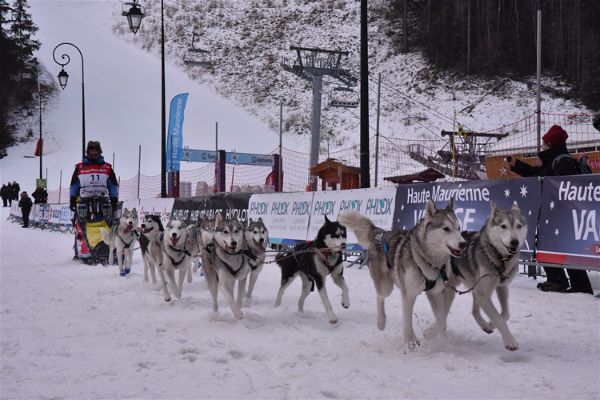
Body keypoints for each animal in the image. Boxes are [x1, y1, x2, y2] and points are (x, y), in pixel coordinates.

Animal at [340, 200, 466, 350]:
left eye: (459, 228)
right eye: (446, 229)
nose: (463, 244)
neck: (428, 260)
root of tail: (381, 233)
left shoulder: (434, 293)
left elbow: (441, 320)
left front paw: (430, 332)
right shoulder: (409, 294)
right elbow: (407, 323)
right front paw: (408, 345)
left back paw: (414, 338)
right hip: (387, 287)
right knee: (380, 297)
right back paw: (381, 322)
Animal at [442, 203, 528, 350]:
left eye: (518, 226)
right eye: (503, 226)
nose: (514, 242)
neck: (499, 258)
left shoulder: (501, 287)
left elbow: (504, 314)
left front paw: (491, 324)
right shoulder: (484, 294)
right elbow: (499, 318)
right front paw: (510, 341)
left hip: (475, 286)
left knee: (474, 311)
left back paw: (485, 325)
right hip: (452, 290)